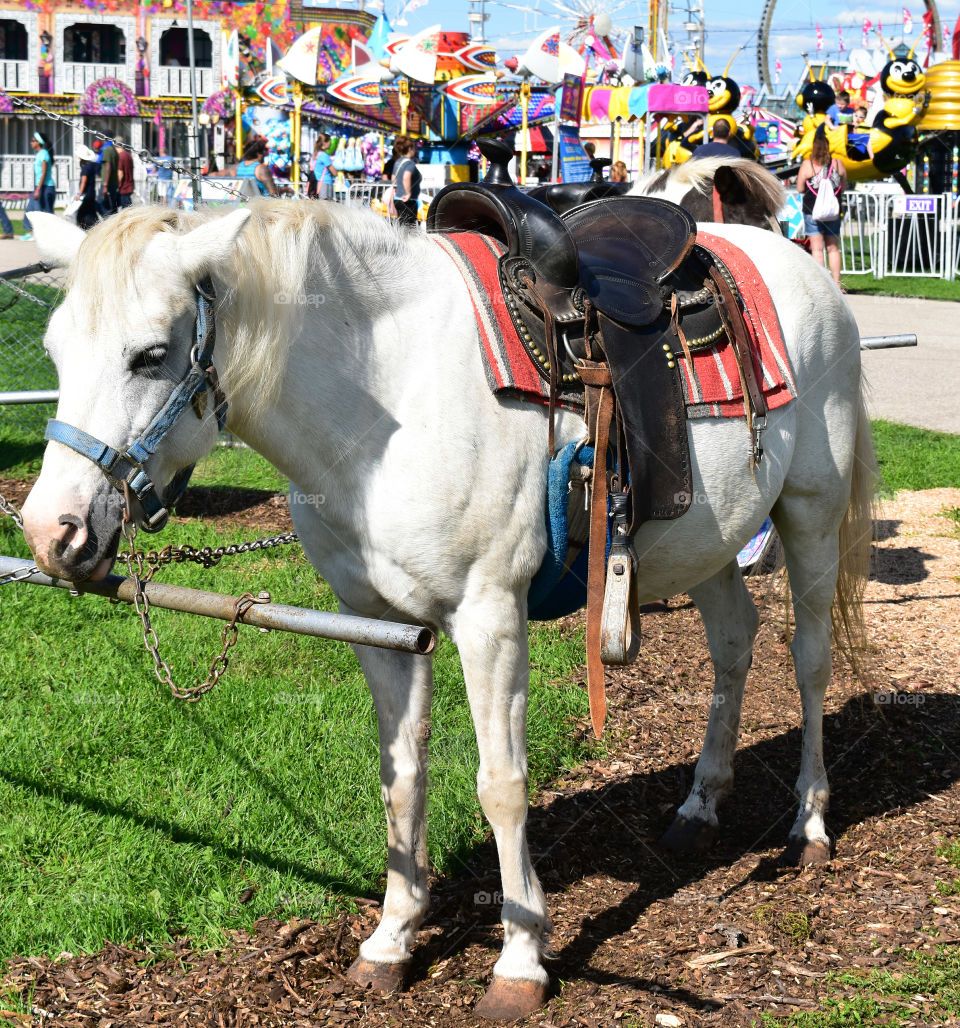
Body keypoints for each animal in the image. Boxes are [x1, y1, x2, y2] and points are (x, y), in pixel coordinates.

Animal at [26, 202, 875, 1019]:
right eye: (55, 354)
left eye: (149, 355)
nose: (48, 530)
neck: (389, 402)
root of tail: (800, 262)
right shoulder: (374, 624)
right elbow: (401, 776)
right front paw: (391, 941)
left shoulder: (489, 620)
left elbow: (501, 785)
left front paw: (520, 962)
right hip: (708, 537)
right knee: (734, 641)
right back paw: (700, 805)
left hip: (810, 511)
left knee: (809, 660)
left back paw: (810, 827)